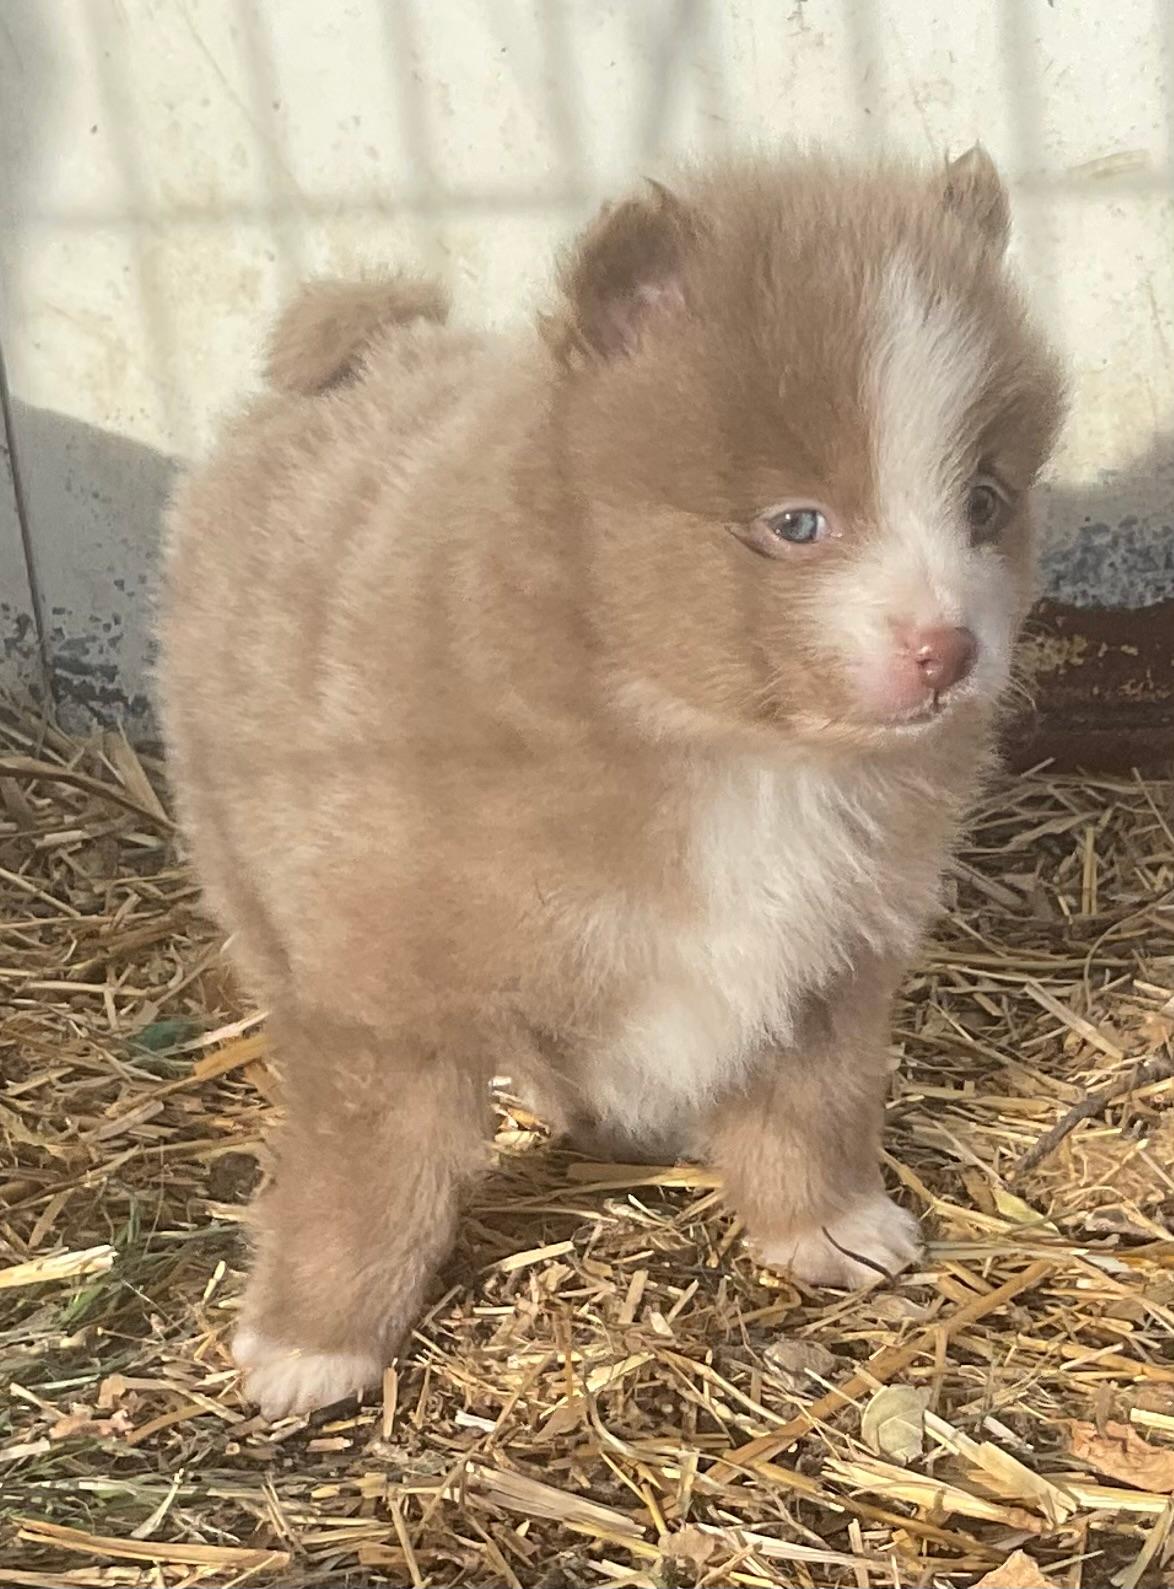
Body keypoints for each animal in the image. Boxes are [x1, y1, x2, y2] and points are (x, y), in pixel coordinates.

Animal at [156, 146, 1067, 1417]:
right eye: (797, 524)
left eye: (984, 501)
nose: (948, 646)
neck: (734, 754)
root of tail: (364, 350)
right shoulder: (381, 992)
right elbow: (368, 1169)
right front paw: (313, 1339)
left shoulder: (832, 955)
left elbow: (812, 1102)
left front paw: (828, 1225)